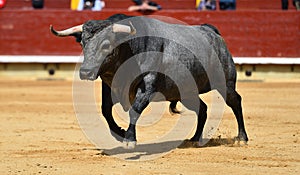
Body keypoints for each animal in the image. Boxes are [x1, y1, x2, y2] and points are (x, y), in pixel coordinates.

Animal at [50, 13, 248, 148]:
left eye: (106, 44)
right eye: (82, 43)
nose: (85, 72)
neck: (130, 47)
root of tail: (212, 32)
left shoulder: (148, 85)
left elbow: (135, 110)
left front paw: (129, 139)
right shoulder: (109, 86)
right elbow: (106, 110)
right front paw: (119, 133)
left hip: (225, 83)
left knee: (235, 101)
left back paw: (242, 138)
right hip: (186, 92)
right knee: (203, 108)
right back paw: (194, 139)